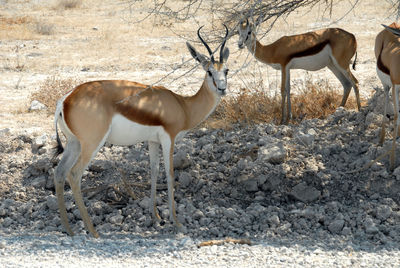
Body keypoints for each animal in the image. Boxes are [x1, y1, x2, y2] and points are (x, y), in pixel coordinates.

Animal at [52, 25, 231, 237]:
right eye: (209, 71)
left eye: (226, 70)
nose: (222, 89)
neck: (183, 106)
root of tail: (65, 99)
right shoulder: (169, 138)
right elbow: (170, 174)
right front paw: (177, 223)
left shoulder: (153, 141)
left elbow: (154, 171)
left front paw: (156, 217)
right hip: (91, 144)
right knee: (74, 174)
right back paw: (93, 232)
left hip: (74, 143)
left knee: (59, 172)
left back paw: (69, 230)